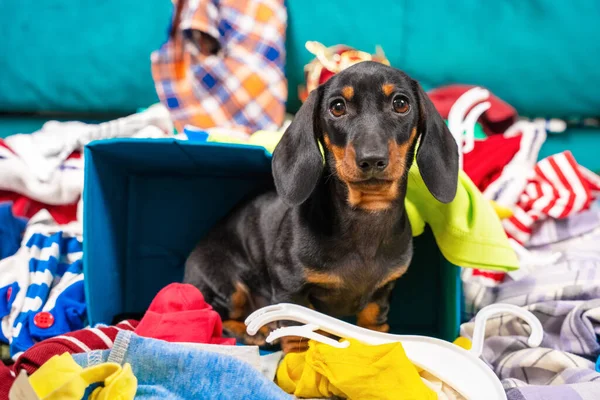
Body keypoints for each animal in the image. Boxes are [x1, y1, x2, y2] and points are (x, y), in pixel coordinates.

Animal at [185, 60, 458, 350]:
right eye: (337, 107)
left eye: (401, 103)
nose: (372, 159)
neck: (366, 218)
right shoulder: (289, 288)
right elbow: (296, 332)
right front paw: (297, 357)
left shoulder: (384, 290)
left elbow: (373, 321)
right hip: (226, 284)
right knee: (216, 316)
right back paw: (255, 332)